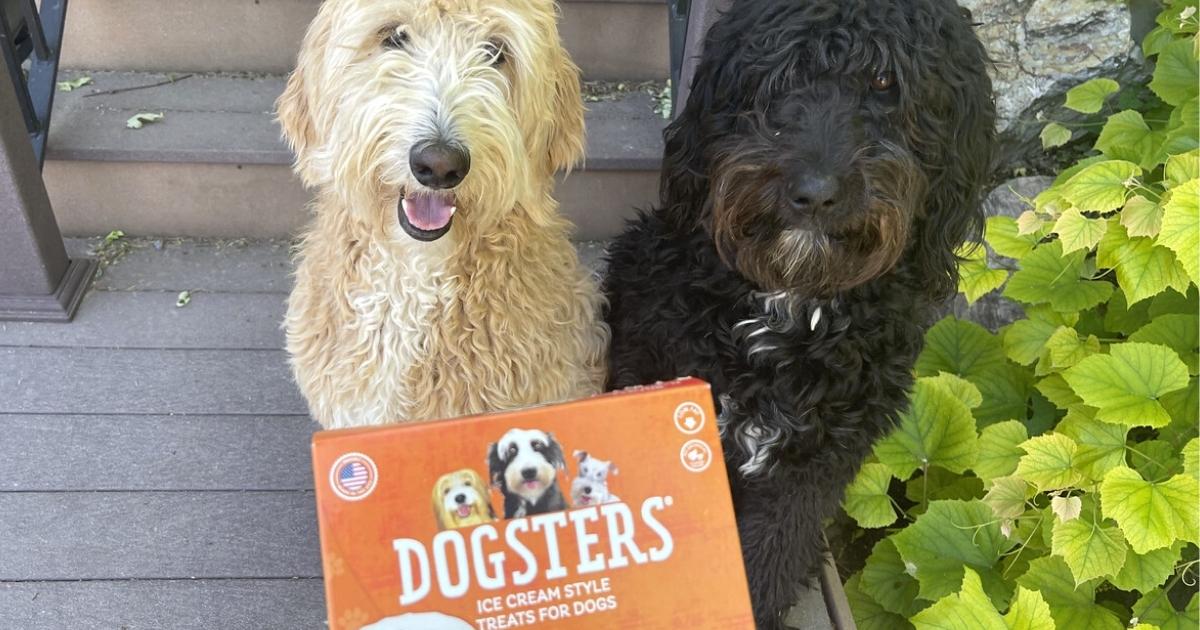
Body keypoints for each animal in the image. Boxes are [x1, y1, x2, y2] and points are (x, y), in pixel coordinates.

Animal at [604, 1, 998, 624]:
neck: (789, 300)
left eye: (885, 82)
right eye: (781, 75)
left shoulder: (813, 467)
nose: (814, 192)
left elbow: (769, 558)